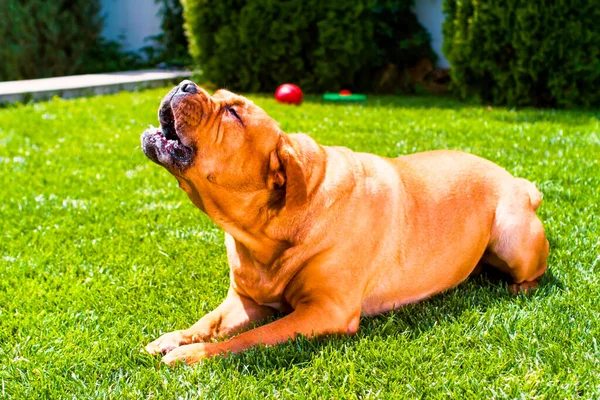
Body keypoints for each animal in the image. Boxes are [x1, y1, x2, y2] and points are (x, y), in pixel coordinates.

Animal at [141, 80, 548, 366]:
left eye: (233, 114)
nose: (185, 84)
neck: (262, 233)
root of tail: (519, 182)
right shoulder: (246, 300)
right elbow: (207, 323)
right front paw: (174, 338)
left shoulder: (325, 311)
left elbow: (249, 339)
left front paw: (192, 356)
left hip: (513, 238)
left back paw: (521, 287)